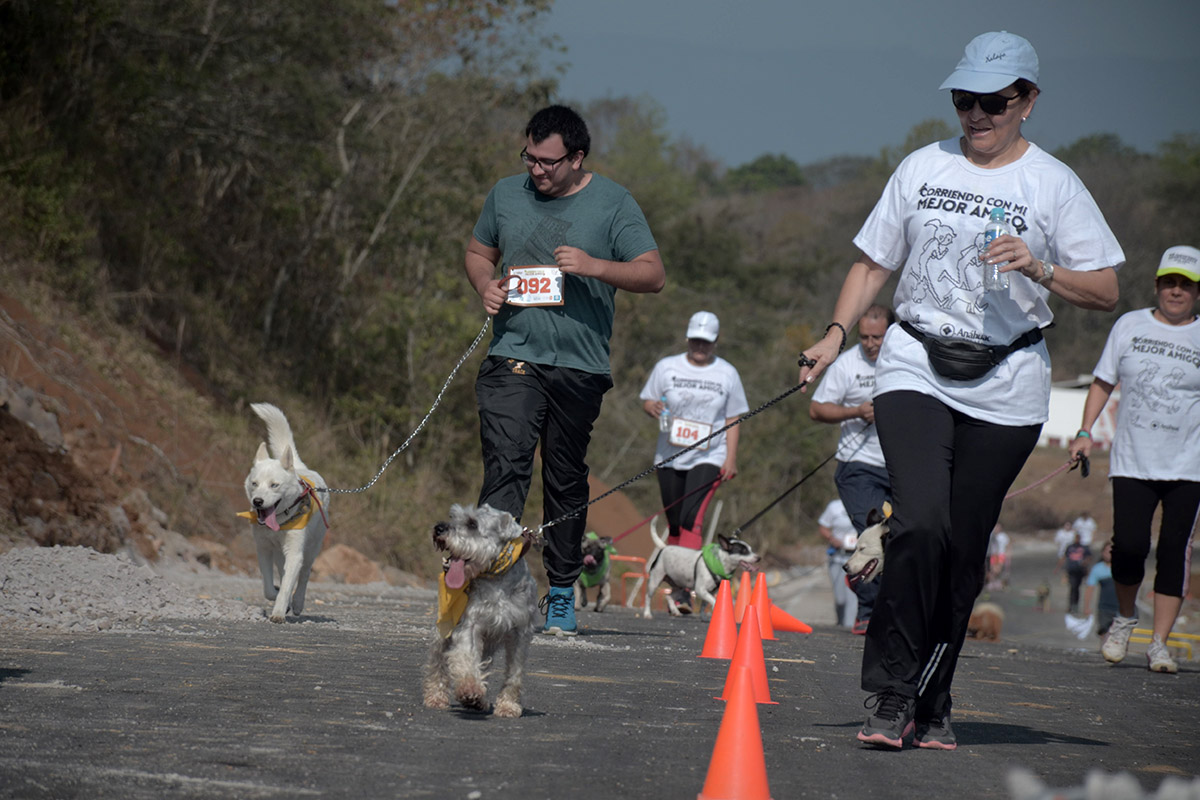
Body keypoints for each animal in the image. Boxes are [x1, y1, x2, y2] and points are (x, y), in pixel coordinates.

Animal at [238, 402, 328, 623]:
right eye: (254, 484)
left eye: (274, 485)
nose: (258, 501)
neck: (280, 521)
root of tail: (300, 468)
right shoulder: (263, 549)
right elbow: (269, 588)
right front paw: (278, 598)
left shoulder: (295, 554)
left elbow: (288, 587)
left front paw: (279, 612)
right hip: (280, 554)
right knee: (283, 570)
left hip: (311, 550)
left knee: (303, 576)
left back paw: (297, 603)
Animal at [422, 506, 535, 719]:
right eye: (453, 515)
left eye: (472, 524)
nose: (439, 528)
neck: (497, 579)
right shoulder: (470, 625)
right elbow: (466, 657)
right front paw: (469, 688)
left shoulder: (520, 633)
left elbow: (514, 673)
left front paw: (508, 706)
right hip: (442, 633)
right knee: (438, 664)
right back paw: (436, 697)